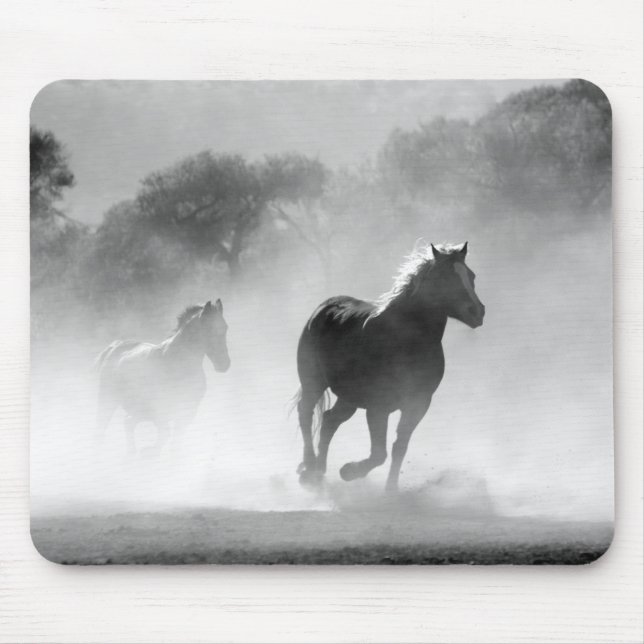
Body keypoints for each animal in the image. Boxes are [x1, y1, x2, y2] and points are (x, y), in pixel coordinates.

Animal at [95, 299, 230, 457]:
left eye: (225, 328)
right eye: (208, 329)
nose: (224, 364)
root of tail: (114, 347)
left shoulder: (187, 413)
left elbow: (174, 444)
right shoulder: (161, 411)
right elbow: (165, 437)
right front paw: (148, 451)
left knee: (127, 423)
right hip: (108, 401)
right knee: (102, 429)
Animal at [295, 242, 485, 492]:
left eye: (471, 276)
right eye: (445, 277)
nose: (477, 312)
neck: (405, 341)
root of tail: (323, 308)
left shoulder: (418, 404)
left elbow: (399, 447)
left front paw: (390, 490)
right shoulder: (378, 407)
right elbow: (379, 454)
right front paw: (349, 471)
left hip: (348, 398)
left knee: (328, 421)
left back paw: (320, 471)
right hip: (313, 383)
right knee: (306, 413)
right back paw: (309, 468)